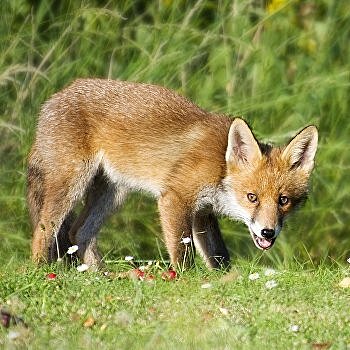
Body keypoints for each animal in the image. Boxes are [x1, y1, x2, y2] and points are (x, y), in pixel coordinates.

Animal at [26, 79, 318, 270]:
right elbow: (183, 253)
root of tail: (53, 99)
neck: (220, 166)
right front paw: (183, 280)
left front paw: (223, 280)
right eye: (252, 197)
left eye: (283, 200)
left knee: (79, 232)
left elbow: (219, 256)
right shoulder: (176, 198)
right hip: (72, 183)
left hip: (113, 193)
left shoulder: (202, 212)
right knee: (44, 229)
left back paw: (102, 276)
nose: (268, 232)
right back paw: (41, 271)